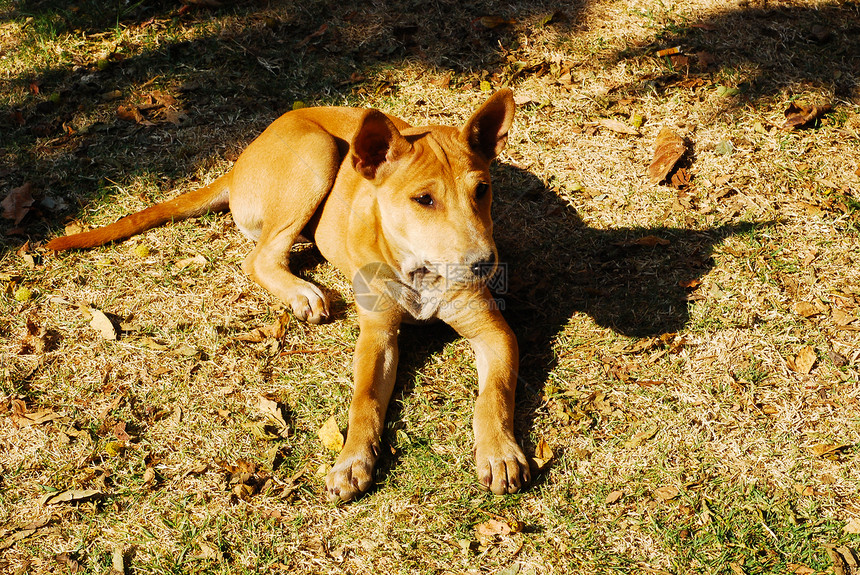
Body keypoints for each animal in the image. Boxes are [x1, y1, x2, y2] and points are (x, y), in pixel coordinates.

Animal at [50, 91, 532, 504]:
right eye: (423, 199)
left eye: (482, 190)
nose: (485, 264)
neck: (419, 271)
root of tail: (240, 160)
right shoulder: (377, 335)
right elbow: (364, 400)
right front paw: (352, 460)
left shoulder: (494, 332)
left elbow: (494, 394)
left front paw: (499, 453)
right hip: (316, 157)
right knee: (259, 258)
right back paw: (303, 292)